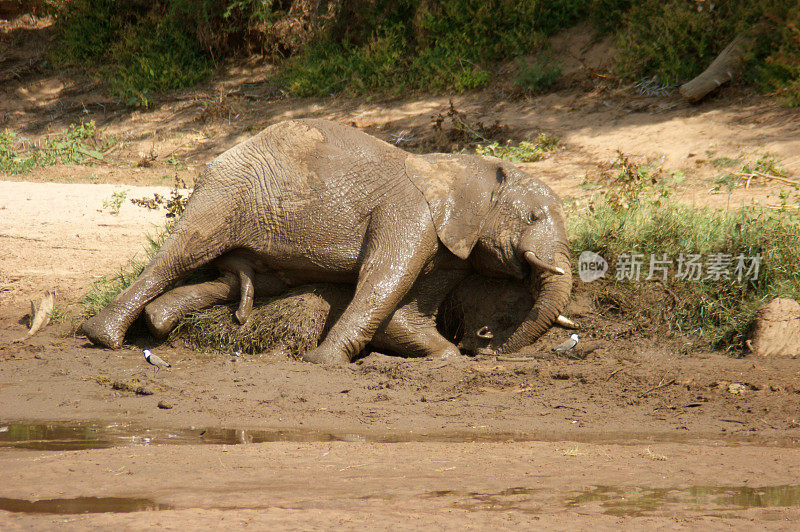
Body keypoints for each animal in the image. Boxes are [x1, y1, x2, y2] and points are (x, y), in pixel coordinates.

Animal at [79, 118, 568, 364]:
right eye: (532, 216)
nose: (485, 346)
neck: (467, 167)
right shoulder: (408, 214)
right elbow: (382, 281)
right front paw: (324, 363)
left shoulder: (453, 246)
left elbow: (409, 308)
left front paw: (447, 356)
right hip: (225, 193)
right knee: (179, 256)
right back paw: (104, 338)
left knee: (245, 279)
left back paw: (159, 322)